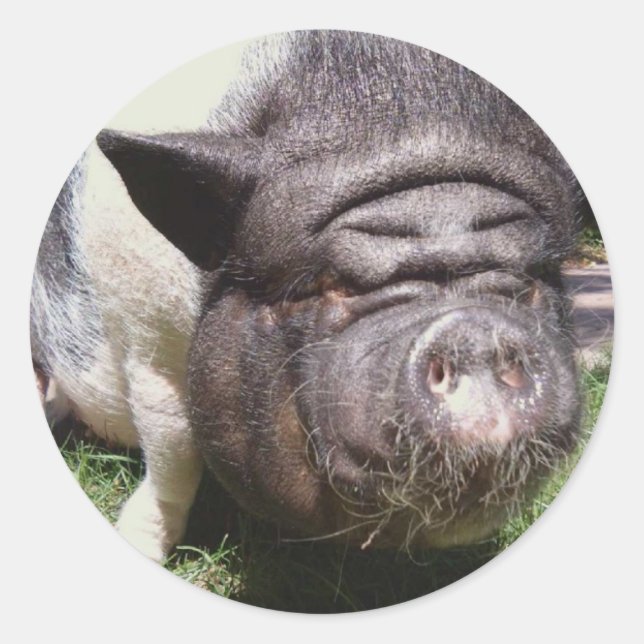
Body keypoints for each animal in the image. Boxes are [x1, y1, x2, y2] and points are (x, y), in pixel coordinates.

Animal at [31, 31, 582, 562]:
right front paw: (143, 547)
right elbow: (174, 445)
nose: (473, 328)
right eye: (331, 284)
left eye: (533, 274)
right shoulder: (146, 331)